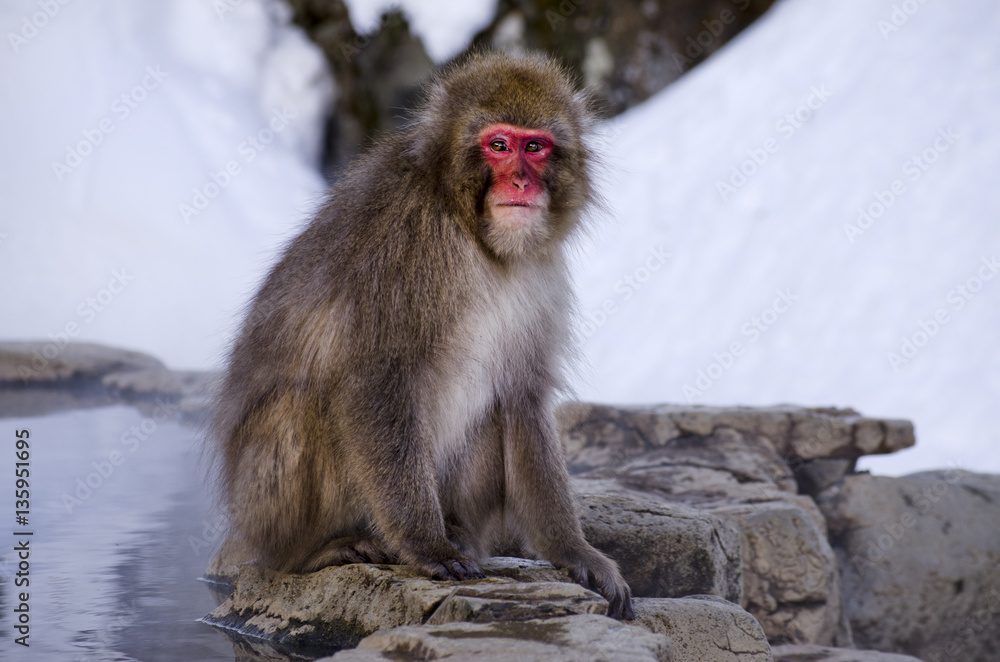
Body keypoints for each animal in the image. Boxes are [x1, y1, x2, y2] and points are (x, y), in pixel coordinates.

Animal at [211, 51, 633, 620]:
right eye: (499, 146)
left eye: (535, 146)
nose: (521, 183)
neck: (471, 232)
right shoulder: (406, 245)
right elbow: (375, 381)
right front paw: (427, 545)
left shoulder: (538, 274)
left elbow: (522, 398)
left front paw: (574, 552)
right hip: (263, 509)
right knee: (300, 405)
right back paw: (314, 551)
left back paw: (459, 531)